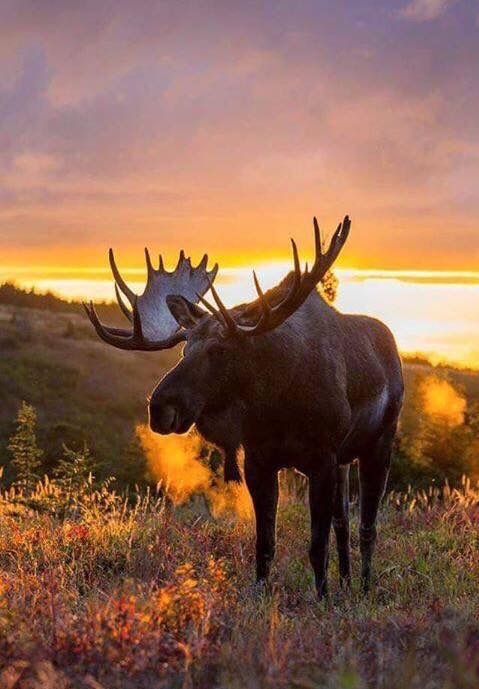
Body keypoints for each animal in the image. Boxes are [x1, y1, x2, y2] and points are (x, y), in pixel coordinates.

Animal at [85, 216, 404, 596]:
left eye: (220, 350)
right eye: (184, 348)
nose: (160, 407)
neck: (277, 405)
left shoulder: (322, 458)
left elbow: (316, 546)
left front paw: (323, 599)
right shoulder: (259, 460)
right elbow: (265, 544)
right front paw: (262, 594)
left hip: (379, 443)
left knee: (367, 527)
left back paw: (365, 589)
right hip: (344, 459)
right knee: (343, 522)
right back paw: (346, 583)